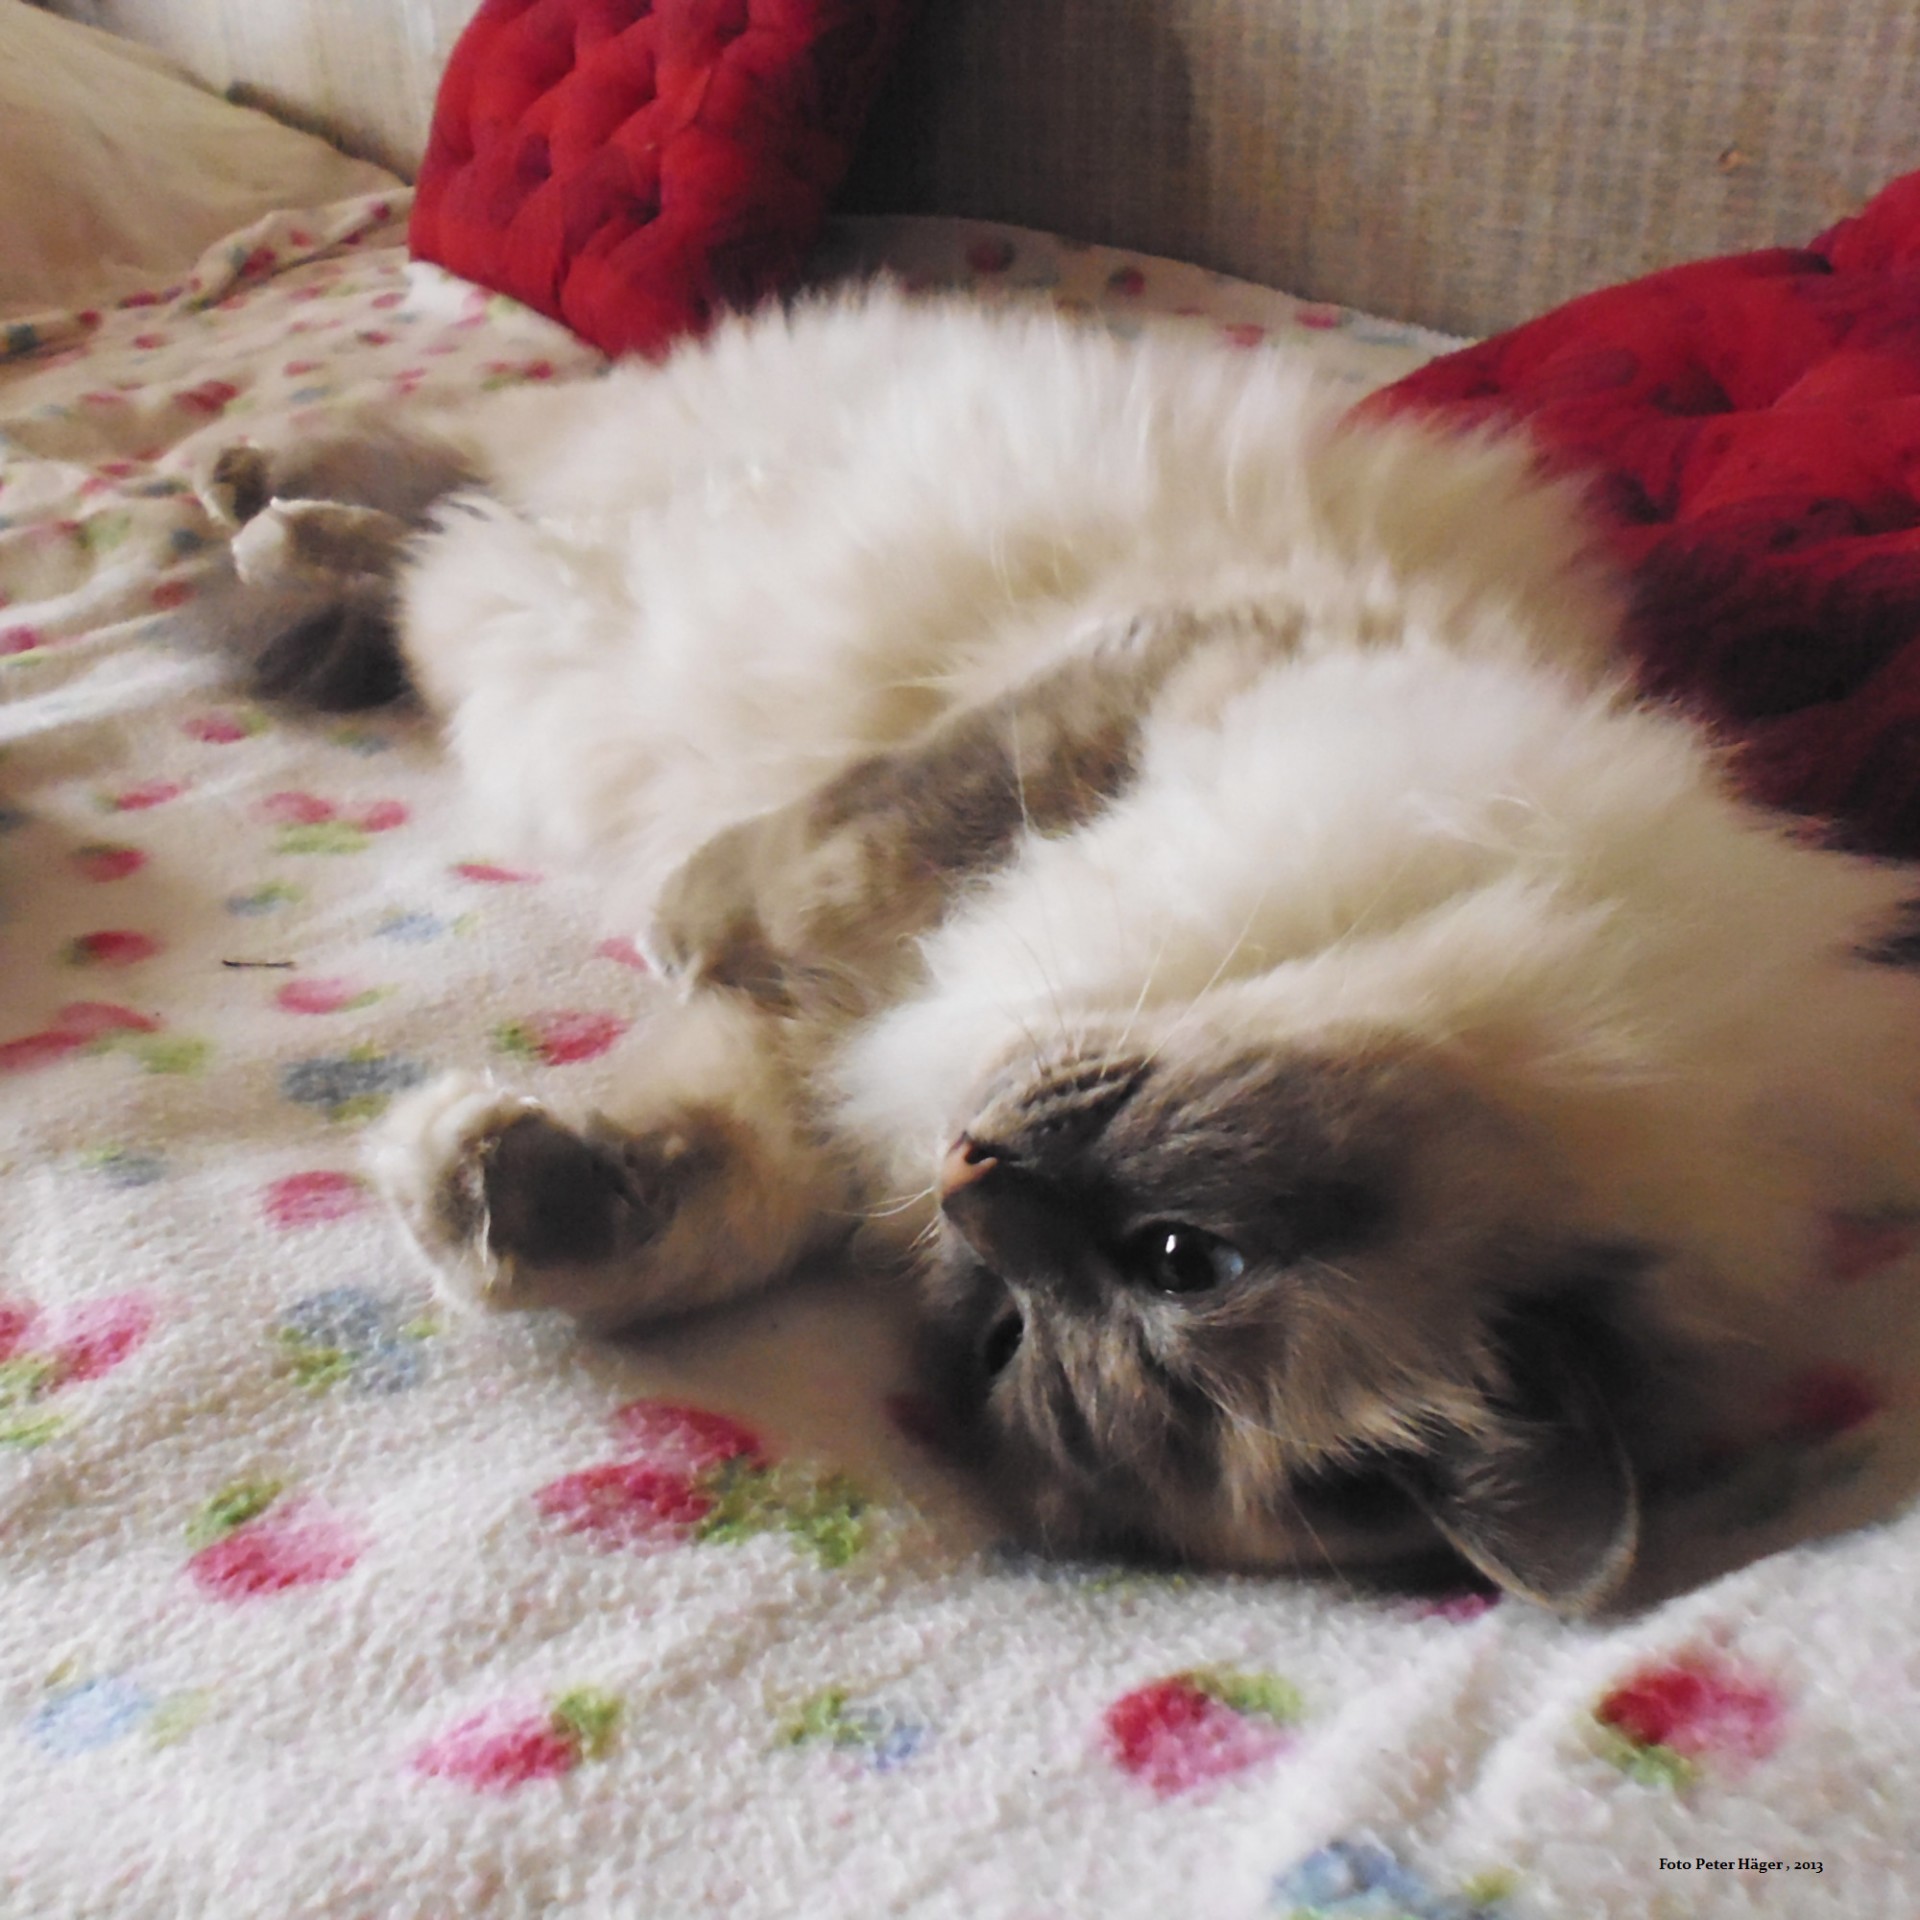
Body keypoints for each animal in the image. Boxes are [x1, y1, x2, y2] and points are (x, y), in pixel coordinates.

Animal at [198, 288, 1920, 1605]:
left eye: (1012, 1333)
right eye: (1185, 1255)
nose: (978, 1174)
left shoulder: (847, 1054)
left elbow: (713, 1184)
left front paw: (499, 1195)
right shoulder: (1147, 693)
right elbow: (842, 853)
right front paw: (677, 924)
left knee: (444, 545)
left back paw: (278, 532)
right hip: (633, 448)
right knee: (449, 464)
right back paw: (242, 490)